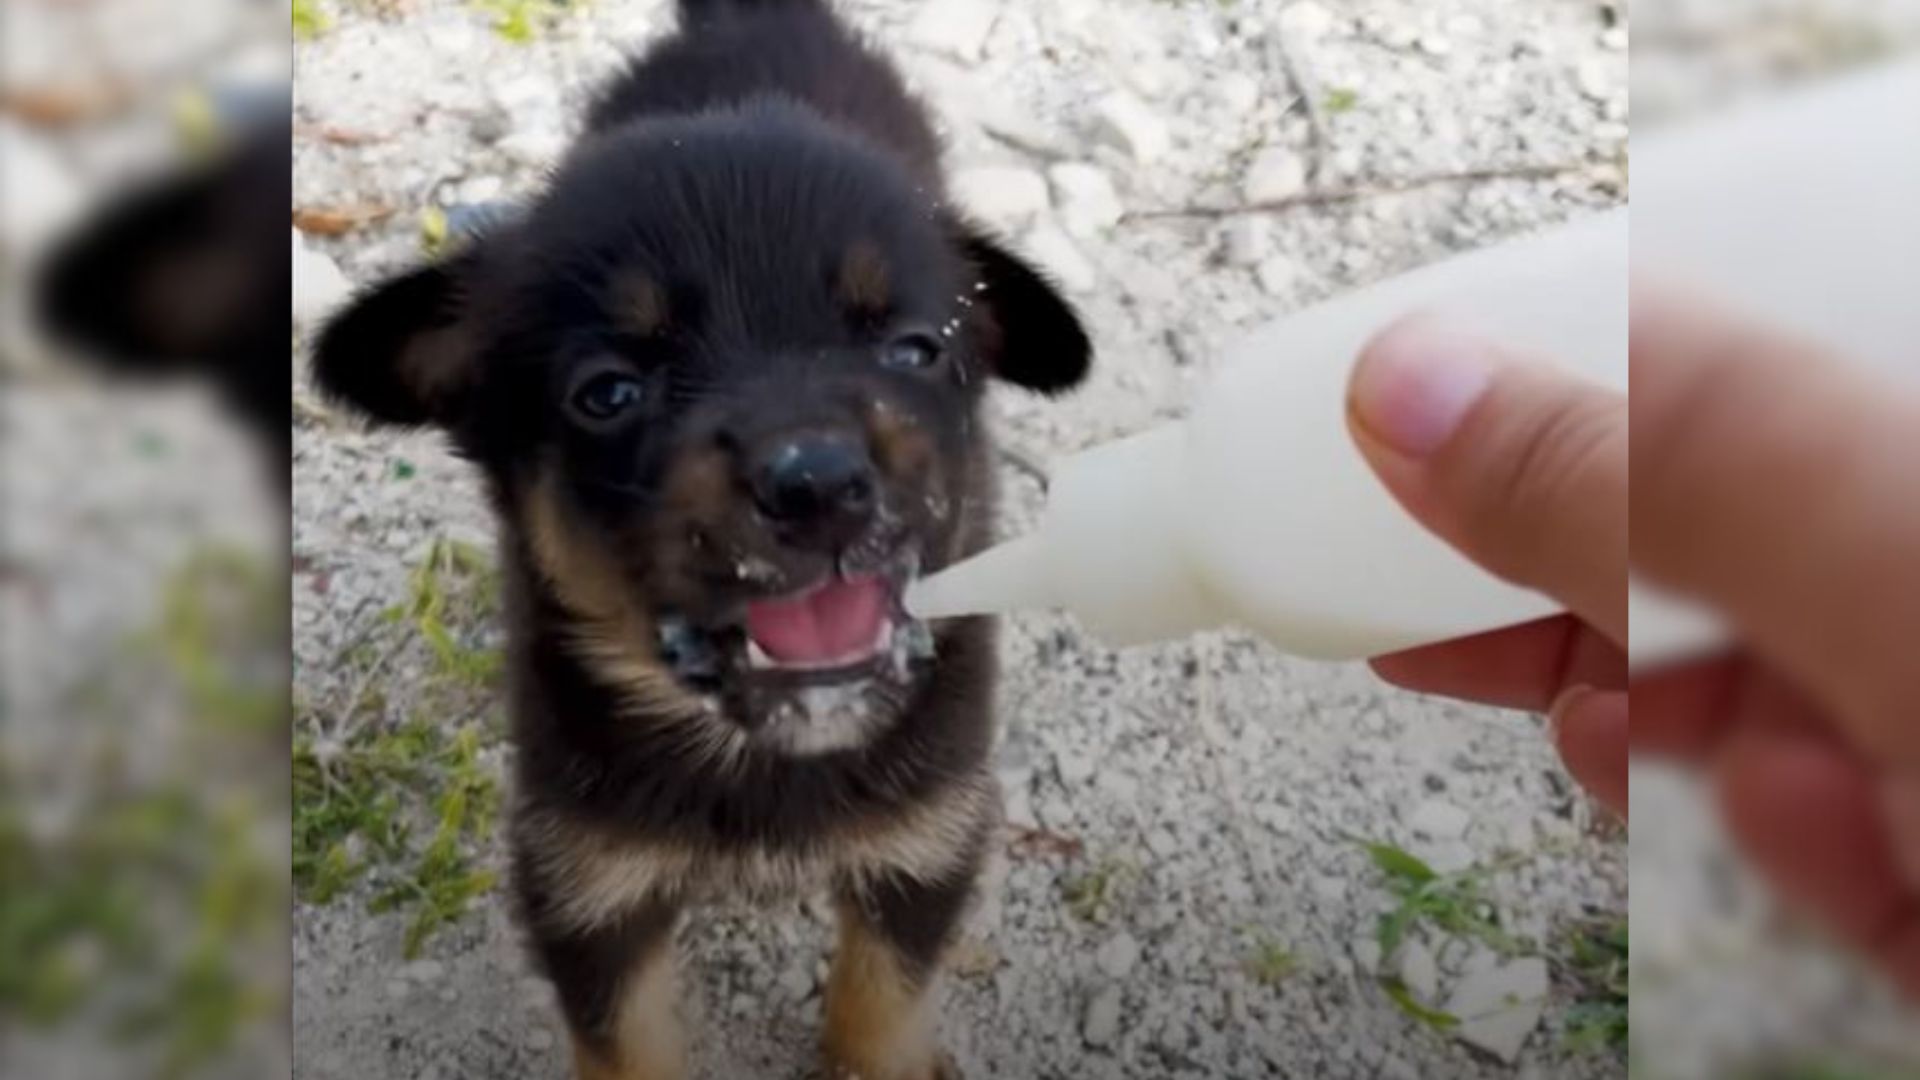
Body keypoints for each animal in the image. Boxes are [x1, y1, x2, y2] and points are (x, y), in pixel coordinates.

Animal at [309, 2, 1090, 1076]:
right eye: (607, 393)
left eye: (915, 350)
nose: (819, 483)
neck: (764, 756)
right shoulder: (585, 882)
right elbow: (627, 1046)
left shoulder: (926, 839)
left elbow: (879, 1008)